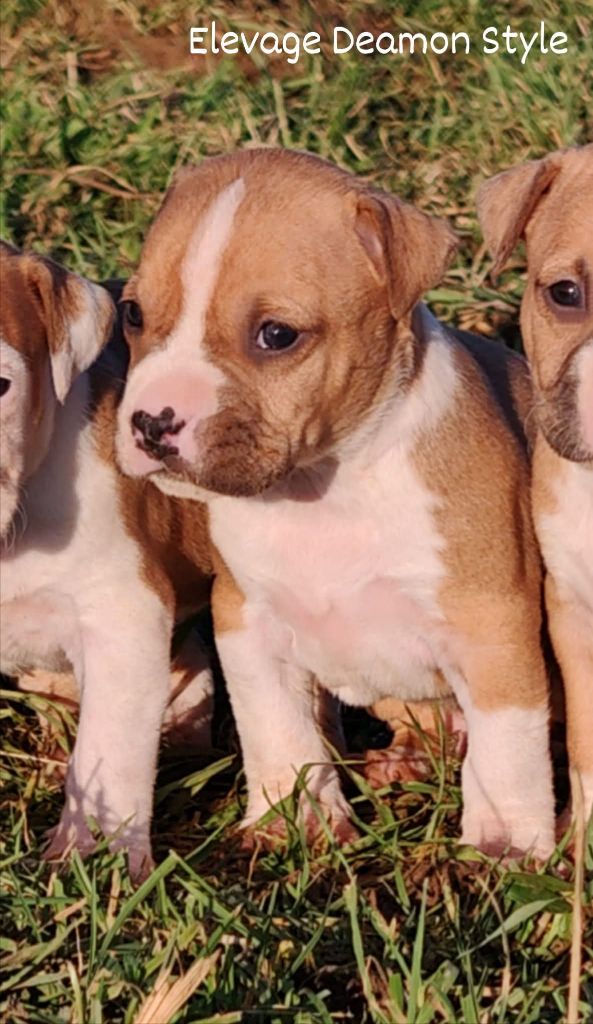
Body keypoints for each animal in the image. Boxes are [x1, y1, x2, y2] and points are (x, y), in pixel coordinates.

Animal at [115, 148, 555, 859]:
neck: (327, 489)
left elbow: (509, 751)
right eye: (132, 313)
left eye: (276, 335)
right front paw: (293, 820)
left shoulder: (493, 630)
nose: (152, 423)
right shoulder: (248, 623)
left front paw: (507, 846)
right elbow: (280, 730)